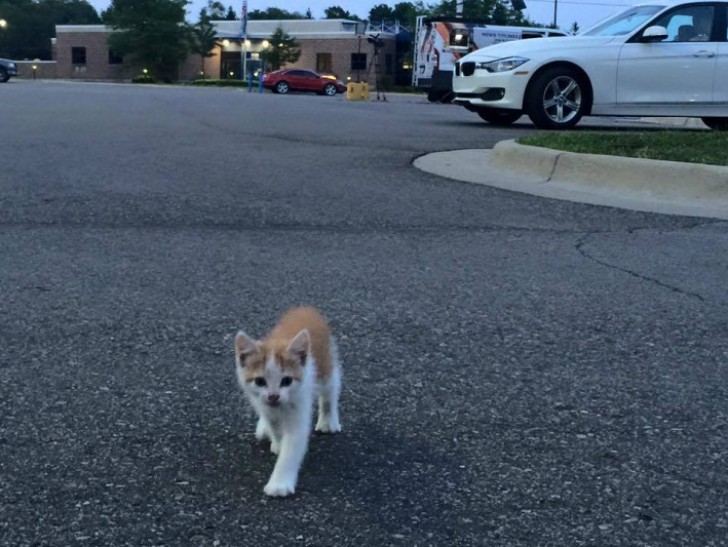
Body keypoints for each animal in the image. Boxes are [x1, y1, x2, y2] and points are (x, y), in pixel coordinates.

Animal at [236, 306, 344, 498]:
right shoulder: (264, 405)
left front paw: (279, 484)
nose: (273, 396)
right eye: (260, 381)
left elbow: (291, 448)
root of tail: (304, 309)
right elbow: (275, 427)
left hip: (325, 366)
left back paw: (328, 420)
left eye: (286, 381)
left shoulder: (300, 403)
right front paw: (277, 443)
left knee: (332, 386)